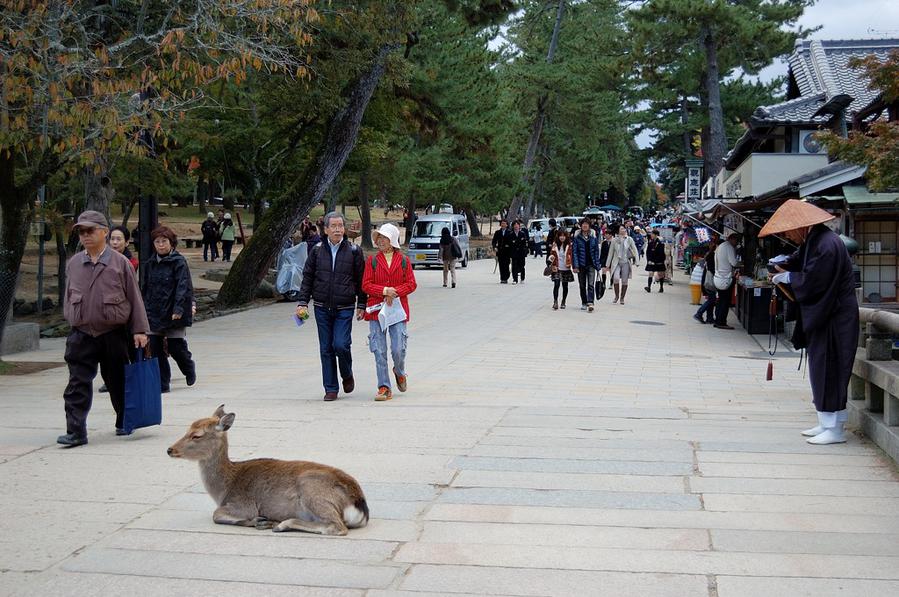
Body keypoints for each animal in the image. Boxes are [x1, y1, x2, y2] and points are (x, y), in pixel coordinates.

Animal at [167, 406, 368, 536]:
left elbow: (216, 514)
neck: (223, 490)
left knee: (337, 527)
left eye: (196, 435)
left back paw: (281, 524)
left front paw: (257, 520)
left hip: (312, 490)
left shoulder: (244, 504)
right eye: (188, 428)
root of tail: (361, 507)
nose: (169, 450)